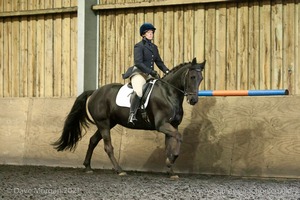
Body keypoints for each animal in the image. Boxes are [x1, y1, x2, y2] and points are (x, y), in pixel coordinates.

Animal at [52, 57, 205, 178]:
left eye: (201, 79)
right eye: (192, 77)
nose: (193, 100)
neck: (168, 93)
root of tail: (95, 91)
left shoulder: (172, 126)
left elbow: (170, 146)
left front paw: (171, 171)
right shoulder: (162, 125)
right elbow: (178, 138)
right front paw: (170, 163)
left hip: (109, 123)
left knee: (93, 140)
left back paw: (88, 167)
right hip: (103, 123)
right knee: (108, 146)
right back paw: (119, 170)